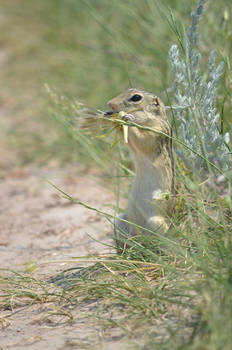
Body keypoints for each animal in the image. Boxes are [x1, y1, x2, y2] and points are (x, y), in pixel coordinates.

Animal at [105, 87, 174, 249]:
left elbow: (142, 139)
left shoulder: (155, 131)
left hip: (156, 222)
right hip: (121, 220)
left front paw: (127, 118)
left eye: (136, 97)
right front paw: (112, 118)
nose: (110, 104)